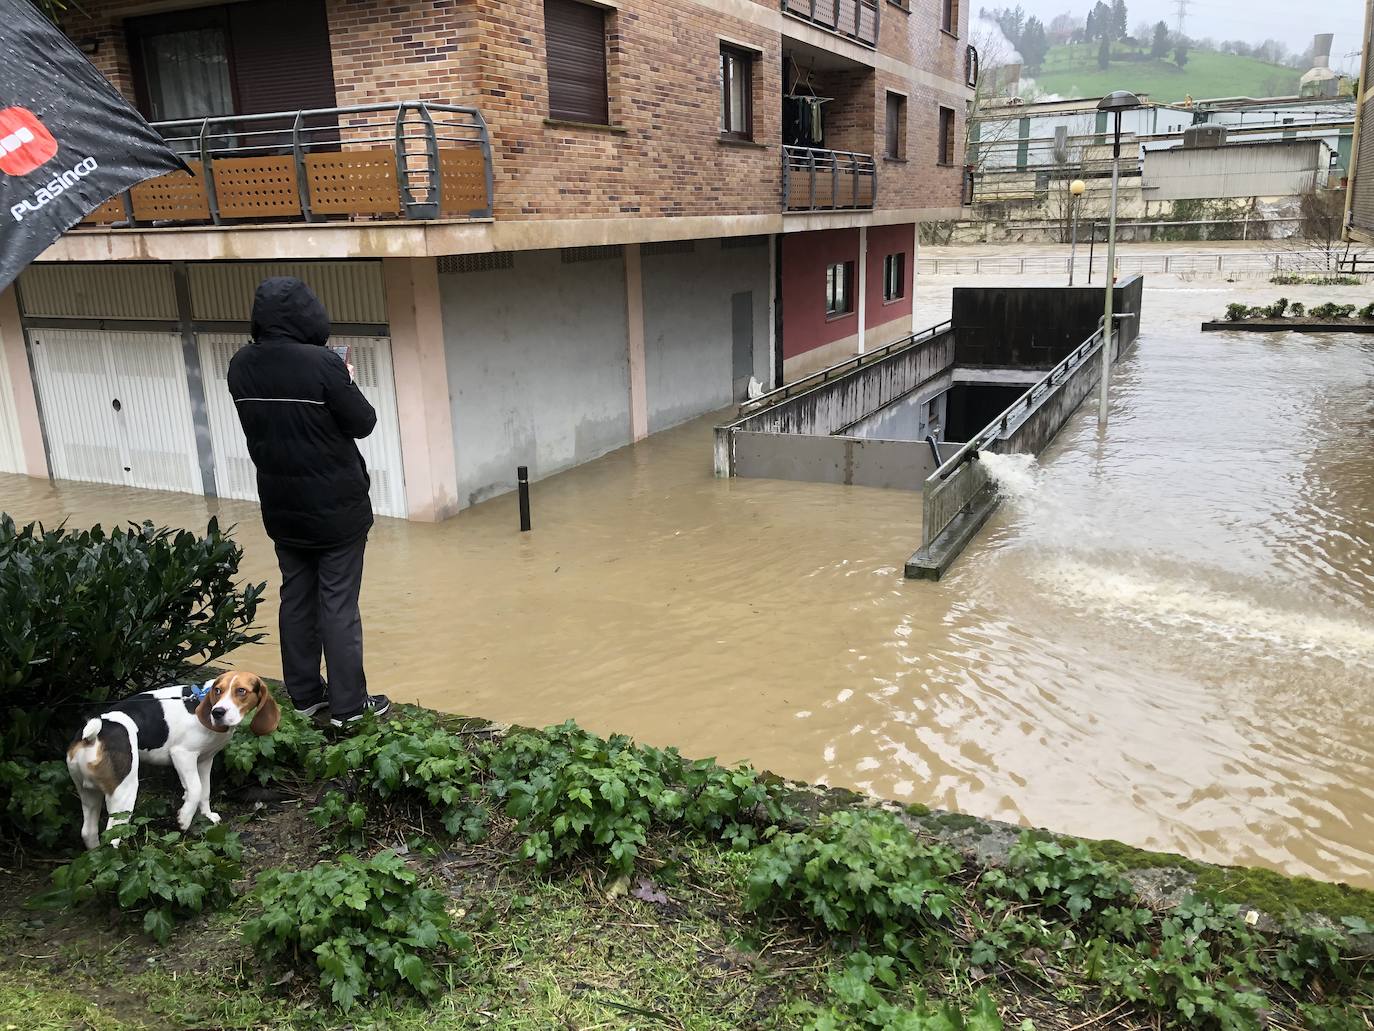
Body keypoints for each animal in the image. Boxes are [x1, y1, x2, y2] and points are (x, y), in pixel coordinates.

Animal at [65, 673, 277, 852]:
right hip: (124, 793)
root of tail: (93, 735)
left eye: (241, 691)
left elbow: (205, 791)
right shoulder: (183, 755)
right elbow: (196, 788)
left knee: (88, 832)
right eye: (218, 690)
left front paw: (207, 815)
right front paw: (184, 818)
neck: (200, 700)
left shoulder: (204, 760)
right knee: (111, 836)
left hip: (89, 793)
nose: (218, 712)